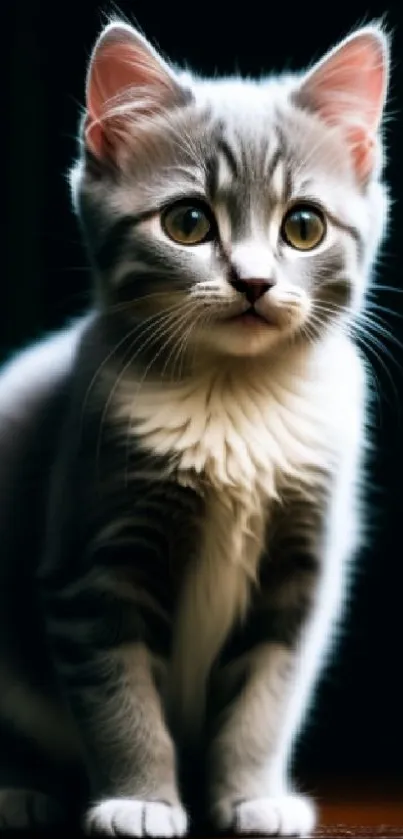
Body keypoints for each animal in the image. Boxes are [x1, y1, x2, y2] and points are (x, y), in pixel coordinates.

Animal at [0, 16, 390, 836]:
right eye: (187, 222)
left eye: (303, 226)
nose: (254, 282)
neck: (234, 398)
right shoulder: (93, 559)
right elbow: (119, 698)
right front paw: (140, 799)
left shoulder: (301, 570)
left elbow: (266, 700)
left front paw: (252, 795)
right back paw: (17, 787)